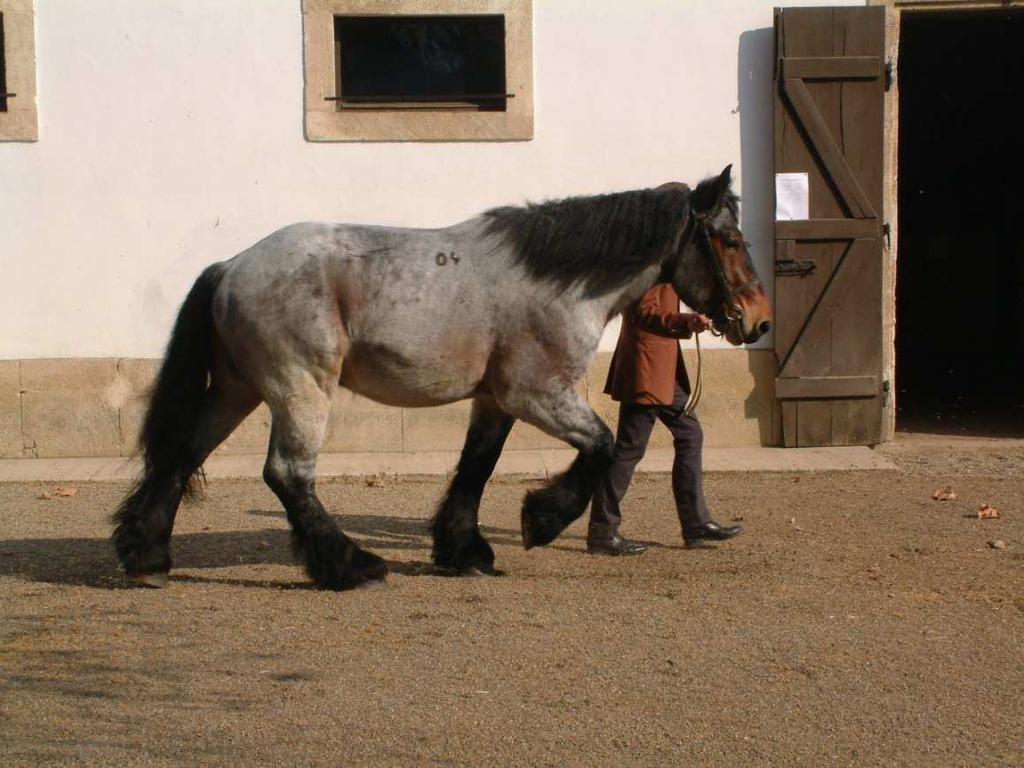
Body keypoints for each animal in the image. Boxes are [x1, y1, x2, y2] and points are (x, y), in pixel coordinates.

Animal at [114, 165, 770, 593]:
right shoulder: (539, 395)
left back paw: (147, 558)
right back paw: (351, 567)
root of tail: (231, 266)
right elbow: (604, 448)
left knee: (180, 456)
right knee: (287, 475)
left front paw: (465, 551)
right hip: (300, 389)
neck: (556, 279)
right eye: (730, 239)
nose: (758, 320)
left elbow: (475, 469)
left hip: (237, 391)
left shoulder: (496, 401)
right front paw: (540, 520)